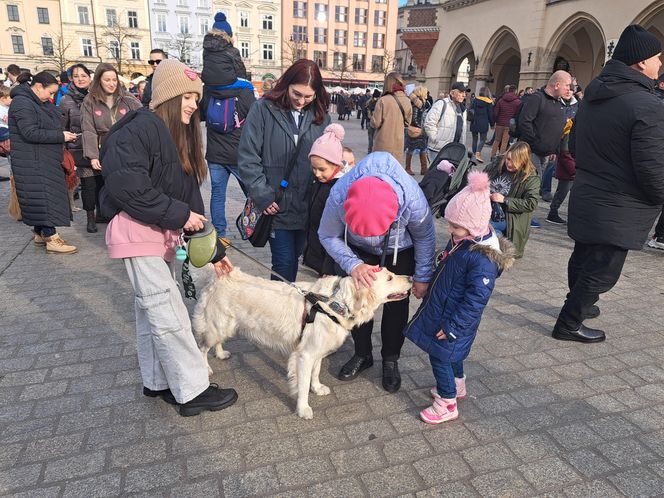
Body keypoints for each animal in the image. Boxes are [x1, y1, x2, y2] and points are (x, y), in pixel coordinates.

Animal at [189, 266, 412, 418]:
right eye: (390, 277)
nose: (411, 277)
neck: (335, 303)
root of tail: (219, 276)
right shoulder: (305, 355)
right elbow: (303, 385)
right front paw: (303, 408)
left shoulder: (317, 350)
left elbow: (316, 372)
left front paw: (318, 388)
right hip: (217, 325)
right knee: (202, 347)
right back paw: (205, 369)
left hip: (226, 326)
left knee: (215, 343)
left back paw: (220, 353)